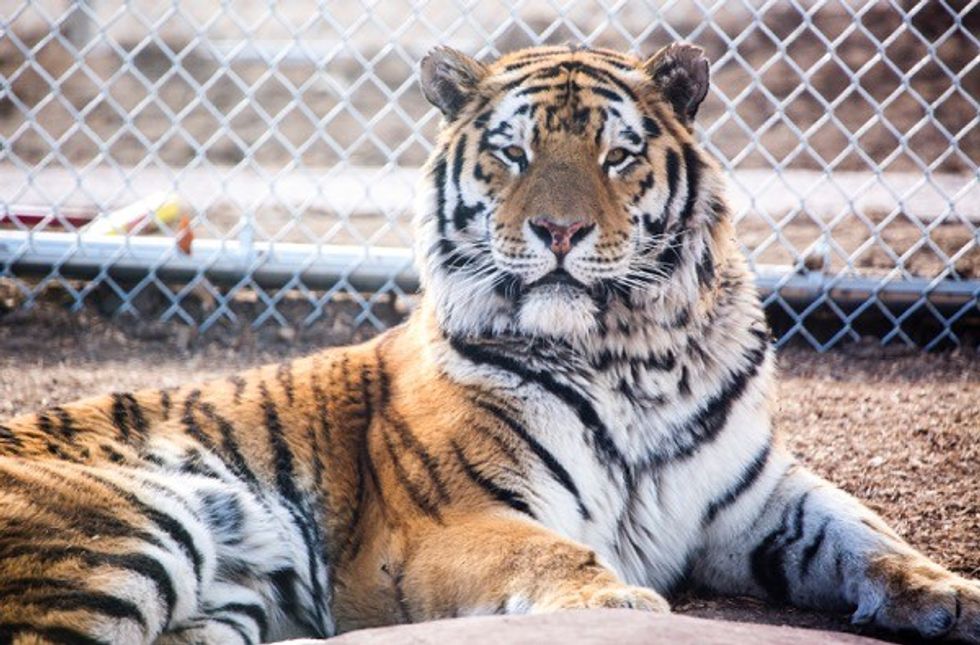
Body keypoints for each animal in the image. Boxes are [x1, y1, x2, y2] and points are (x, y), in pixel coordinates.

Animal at [0, 42, 978, 645]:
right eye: (512, 152)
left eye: (618, 155)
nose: (559, 230)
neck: (631, 353)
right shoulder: (446, 522)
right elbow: (547, 550)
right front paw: (613, 597)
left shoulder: (760, 497)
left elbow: (868, 535)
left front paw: (955, 596)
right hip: (129, 526)